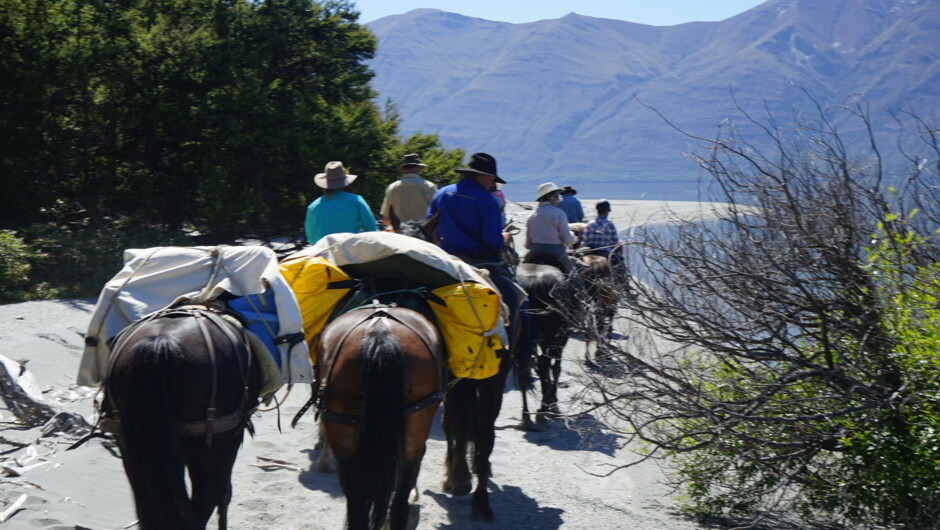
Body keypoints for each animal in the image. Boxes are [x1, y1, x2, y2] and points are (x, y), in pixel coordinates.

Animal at [102, 306, 260, 528]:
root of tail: (158, 342)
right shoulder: (232, 437)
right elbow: (225, 493)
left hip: (129, 444)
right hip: (210, 447)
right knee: (203, 504)